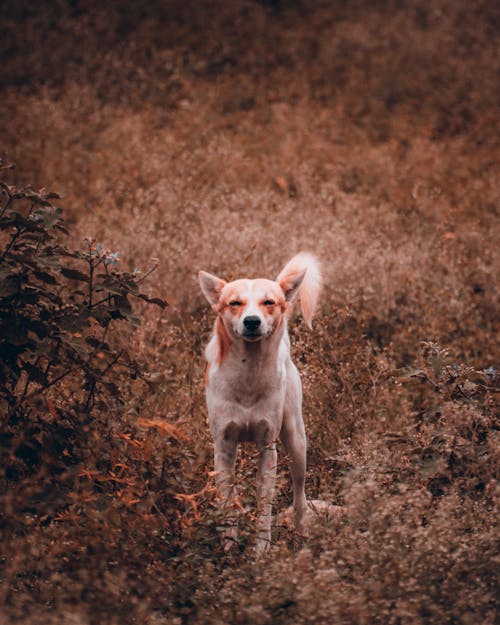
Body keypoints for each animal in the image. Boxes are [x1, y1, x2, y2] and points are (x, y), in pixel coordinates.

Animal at [198, 251, 320, 552]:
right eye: (235, 303)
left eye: (269, 302)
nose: (252, 321)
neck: (248, 374)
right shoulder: (224, 446)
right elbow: (227, 502)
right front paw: (228, 550)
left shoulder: (268, 447)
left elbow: (264, 506)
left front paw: (261, 552)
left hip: (296, 441)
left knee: (299, 494)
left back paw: (301, 534)